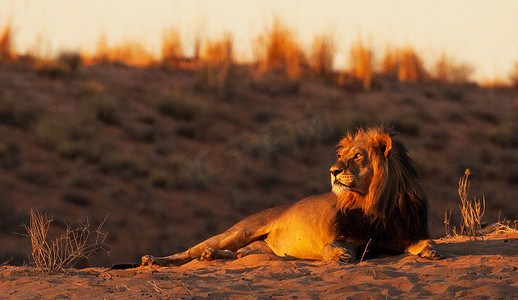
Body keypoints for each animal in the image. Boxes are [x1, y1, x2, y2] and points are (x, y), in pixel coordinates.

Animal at [141, 125, 442, 266]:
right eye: (342, 155)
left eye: (357, 156)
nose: (333, 171)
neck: (373, 202)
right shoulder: (342, 235)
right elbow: (330, 248)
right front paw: (342, 255)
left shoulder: (404, 234)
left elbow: (426, 242)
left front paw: (430, 252)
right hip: (240, 230)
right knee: (189, 251)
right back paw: (154, 260)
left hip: (259, 249)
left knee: (239, 255)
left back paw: (212, 256)